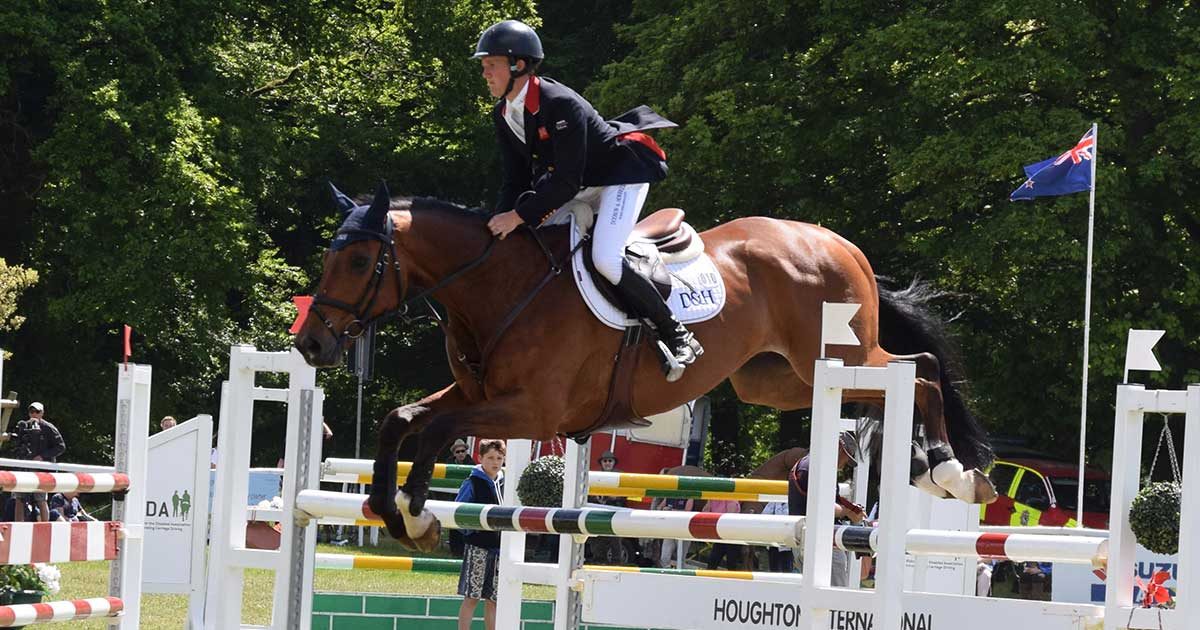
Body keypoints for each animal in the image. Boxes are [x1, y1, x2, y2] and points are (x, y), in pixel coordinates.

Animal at [293, 183, 997, 550]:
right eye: (331, 258)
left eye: (359, 262)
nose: (311, 346)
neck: (499, 287)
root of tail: (837, 241)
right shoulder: (479, 396)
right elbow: (400, 418)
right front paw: (391, 511)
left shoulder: (534, 412)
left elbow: (436, 430)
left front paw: (415, 515)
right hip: (778, 380)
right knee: (884, 386)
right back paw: (934, 465)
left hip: (837, 354)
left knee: (921, 370)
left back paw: (951, 471)